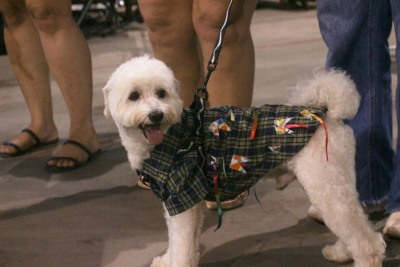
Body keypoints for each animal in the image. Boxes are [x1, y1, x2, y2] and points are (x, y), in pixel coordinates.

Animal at [104, 55, 386, 266]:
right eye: (134, 96)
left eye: (161, 93)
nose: (156, 115)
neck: (170, 136)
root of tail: (325, 114)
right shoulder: (187, 201)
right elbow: (183, 243)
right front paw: (167, 259)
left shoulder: (182, 197)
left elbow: (182, 245)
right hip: (335, 184)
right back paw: (340, 253)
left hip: (326, 185)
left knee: (368, 244)